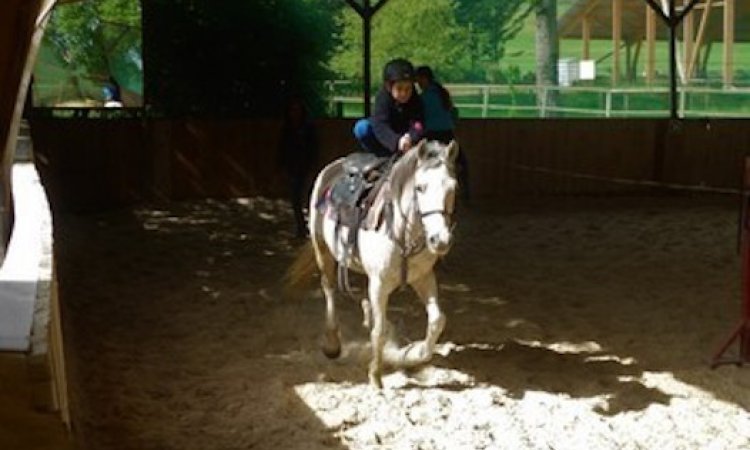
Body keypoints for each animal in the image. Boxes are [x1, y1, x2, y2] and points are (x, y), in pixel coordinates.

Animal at [288, 140, 462, 386]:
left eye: (453, 188)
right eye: (420, 187)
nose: (441, 240)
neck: (401, 231)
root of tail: (333, 166)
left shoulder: (423, 277)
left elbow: (437, 320)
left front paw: (415, 354)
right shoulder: (379, 284)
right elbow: (378, 331)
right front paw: (375, 375)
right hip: (322, 249)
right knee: (329, 289)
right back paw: (332, 344)